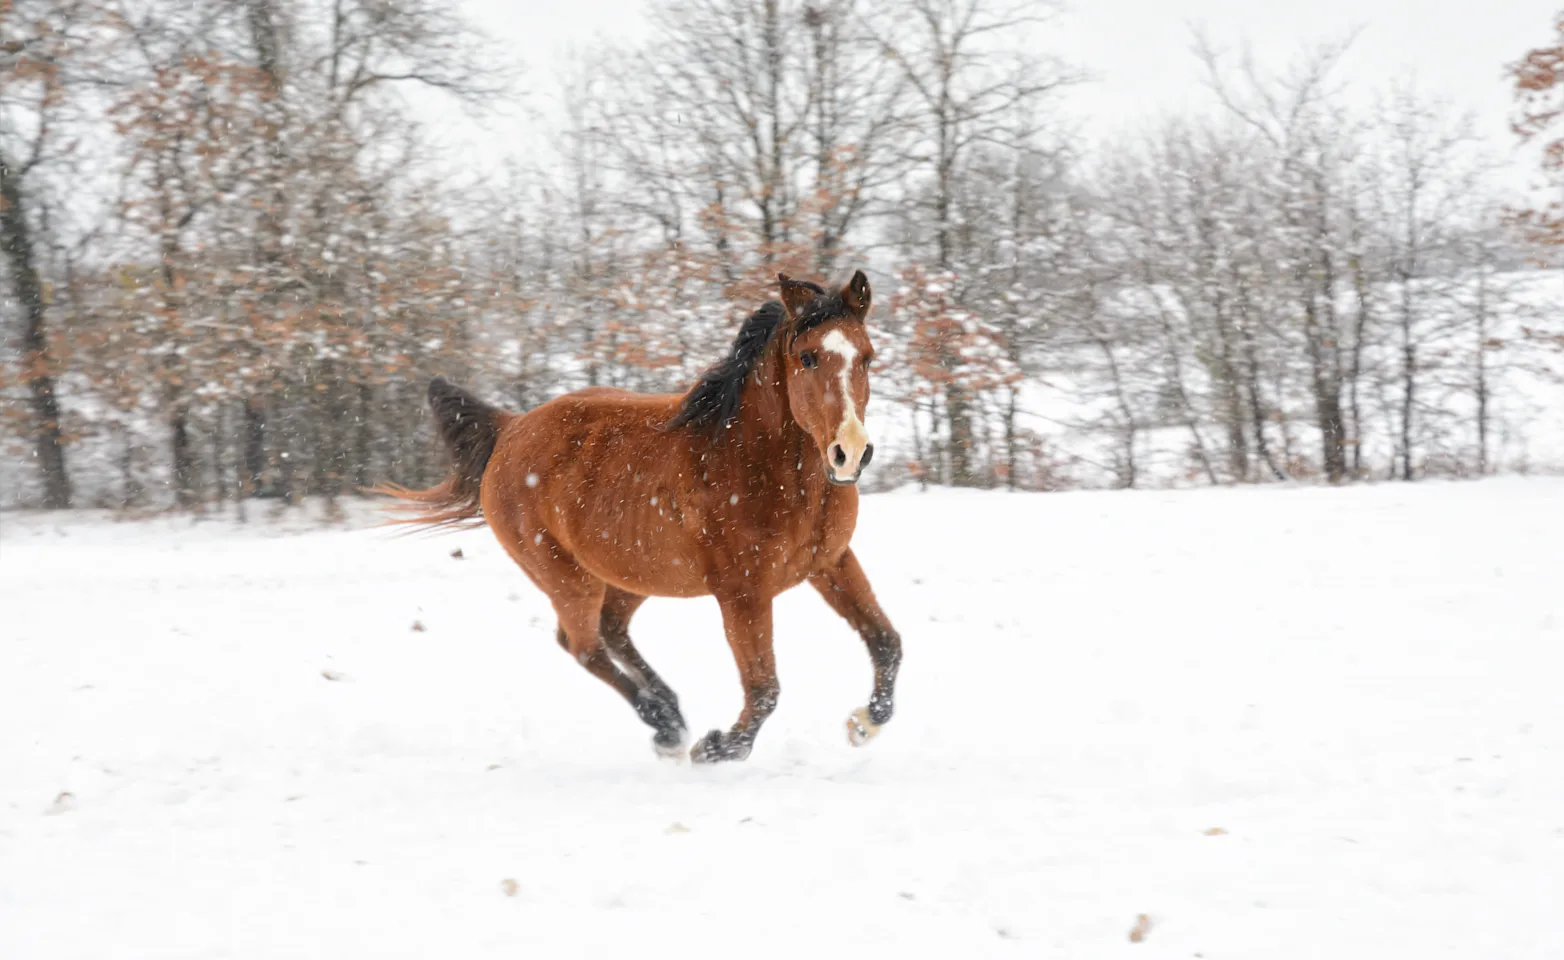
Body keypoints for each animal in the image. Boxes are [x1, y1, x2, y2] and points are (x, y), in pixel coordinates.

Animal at [373, 270, 902, 763]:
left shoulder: (830, 562)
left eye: (867, 356)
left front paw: (864, 723)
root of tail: (510, 429)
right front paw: (715, 748)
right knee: (583, 645)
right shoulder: (742, 591)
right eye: (807, 357)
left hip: (630, 571)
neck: (757, 463)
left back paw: (669, 709)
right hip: (566, 576)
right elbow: (763, 689)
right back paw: (667, 726)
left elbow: (886, 642)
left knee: (610, 631)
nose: (850, 452)